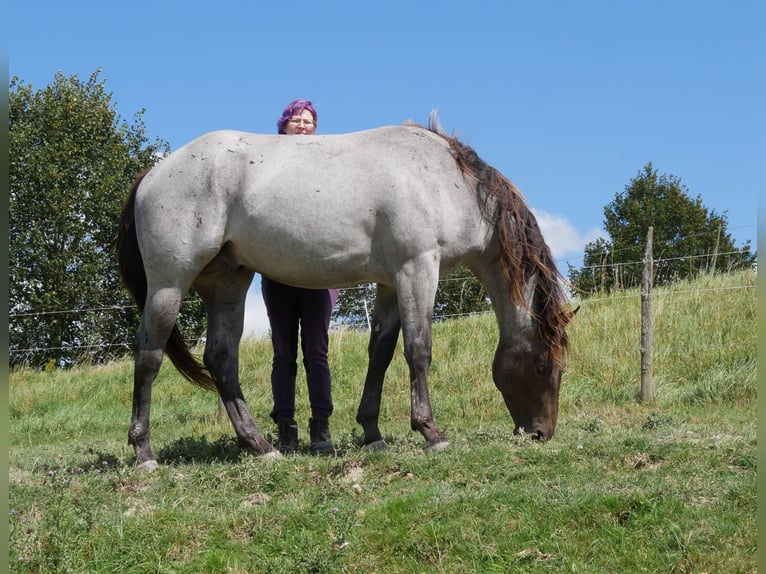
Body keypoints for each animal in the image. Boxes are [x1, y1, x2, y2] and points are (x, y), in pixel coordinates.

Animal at [112, 118, 568, 472]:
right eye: (543, 365)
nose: (541, 433)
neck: (445, 179)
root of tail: (154, 173)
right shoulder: (418, 269)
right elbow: (418, 350)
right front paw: (431, 432)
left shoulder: (390, 283)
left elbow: (380, 354)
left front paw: (372, 432)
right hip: (169, 284)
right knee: (149, 356)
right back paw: (144, 453)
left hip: (227, 283)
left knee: (221, 359)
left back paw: (260, 446)